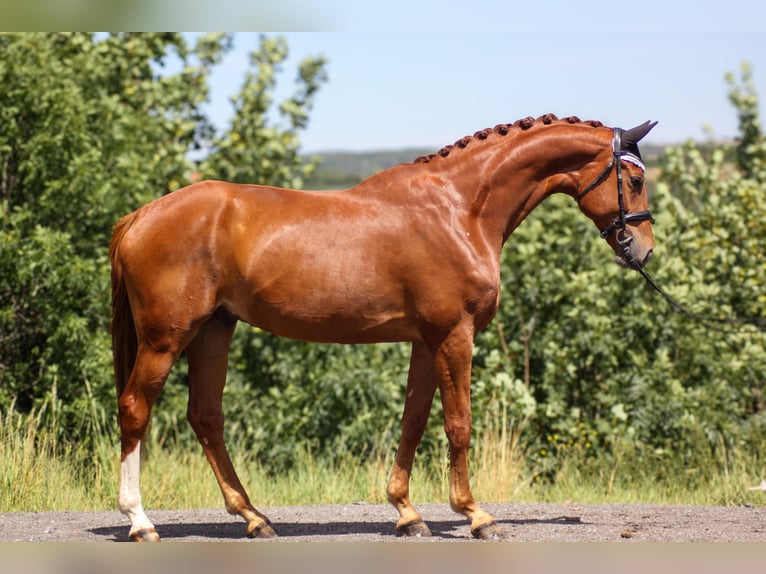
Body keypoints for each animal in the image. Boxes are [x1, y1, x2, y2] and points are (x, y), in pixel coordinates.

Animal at [111, 115, 656, 544]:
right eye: (633, 178)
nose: (644, 250)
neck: (459, 210)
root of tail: (140, 215)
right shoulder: (454, 335)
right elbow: (458, 424)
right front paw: (476, 515)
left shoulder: (425, 341)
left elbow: (413, 420)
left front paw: (407, 514)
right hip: (166, 338)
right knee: (136, 409)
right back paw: (141, 522)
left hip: (213, 331)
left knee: (206, 418)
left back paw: (254, 518)